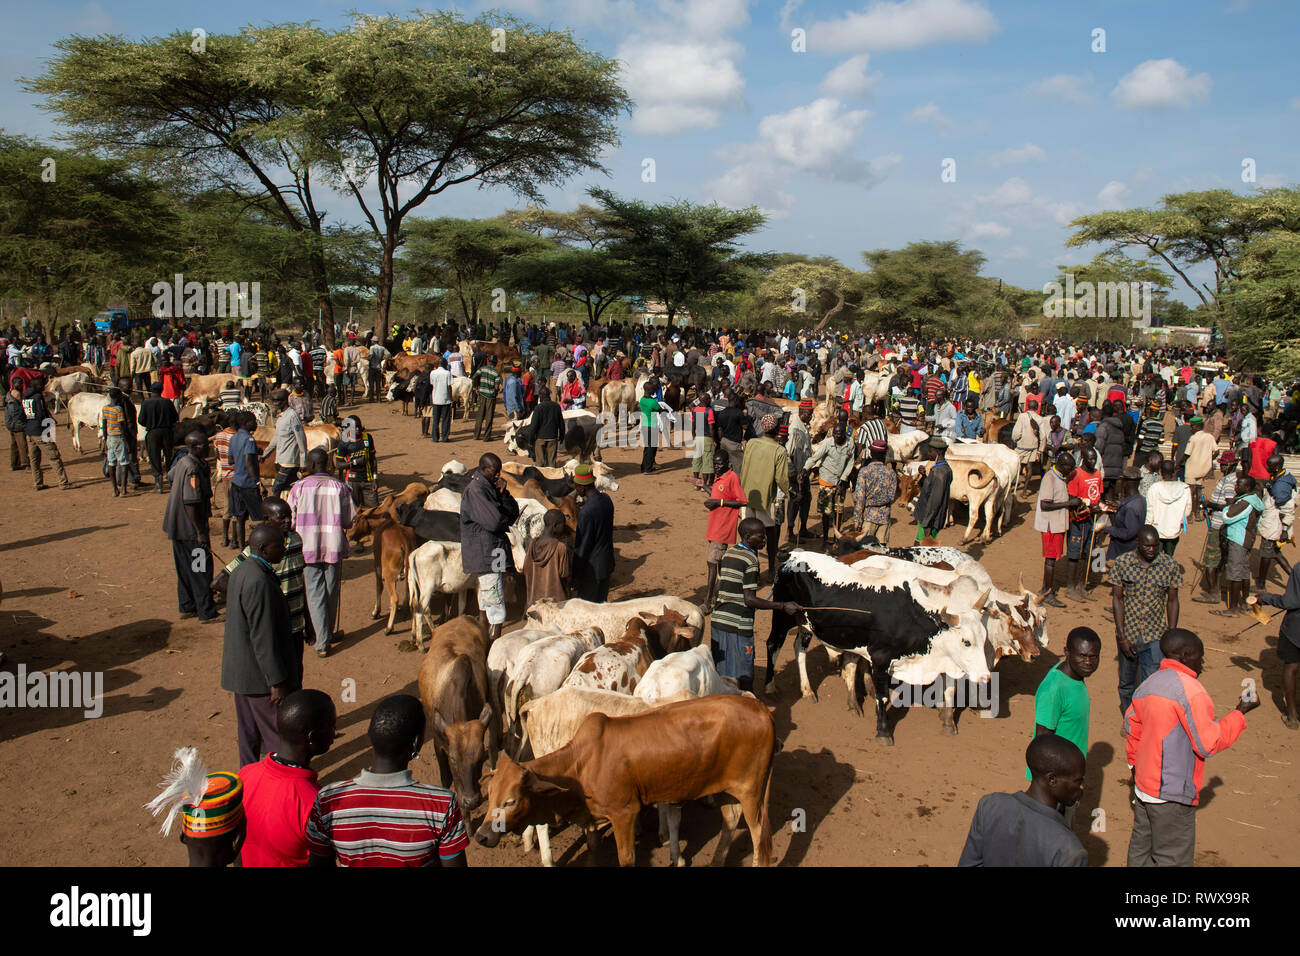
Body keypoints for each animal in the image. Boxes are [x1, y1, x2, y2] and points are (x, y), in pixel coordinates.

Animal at [473, 697, 769, 868]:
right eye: (490, 794)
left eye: (511, 801)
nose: (482, 835)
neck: (582, 763)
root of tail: (762, 710)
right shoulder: (592, 818)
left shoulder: (624, 813)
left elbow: (626, 858)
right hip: (729, 790)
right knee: (730, 821)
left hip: (752, 792)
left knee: (760, 839)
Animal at [769, 548, 993, 743]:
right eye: (966, 641)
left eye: (984, 638)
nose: (986, 677)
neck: (910, 614)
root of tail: (792, 554)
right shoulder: (880, 659)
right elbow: (883, 697)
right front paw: (883, 732)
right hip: (783, 615)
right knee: (773, 644)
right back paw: (770, 687)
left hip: (806, 624)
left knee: (800, 648)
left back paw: (807, 691)